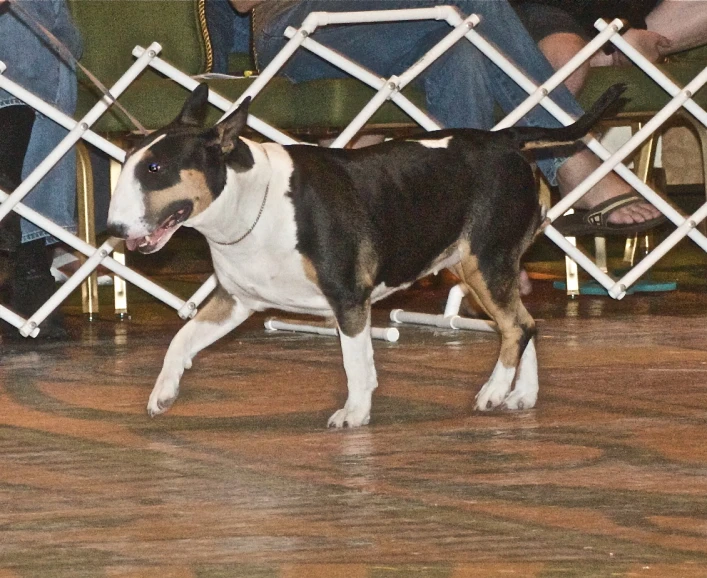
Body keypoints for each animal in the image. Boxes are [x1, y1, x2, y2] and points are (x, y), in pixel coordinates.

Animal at [106, 82, 624, 424]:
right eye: (128, 162)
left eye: (155, 169)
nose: (112, 229)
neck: (250, 202)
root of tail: (508, 140)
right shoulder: (235, 301)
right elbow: (181, 340)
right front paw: (163, 394)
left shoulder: (348, 297)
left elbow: (356, 362)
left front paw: (353, 414)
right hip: (477, 266)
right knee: (526, 324)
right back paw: (520, 397)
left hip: (486, 259)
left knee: (517, 326)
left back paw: (493, 392)